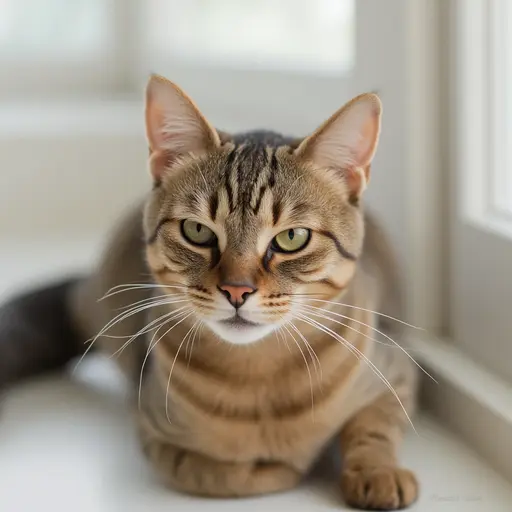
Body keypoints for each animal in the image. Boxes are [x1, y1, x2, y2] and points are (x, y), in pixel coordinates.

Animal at [0, 74, 420, 510]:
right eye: (197, 230)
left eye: (292, 238)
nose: (237, 289)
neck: (259, 379)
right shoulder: (155, 434)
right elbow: (229, 473)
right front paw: (287, 465)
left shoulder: (396, 374)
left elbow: (374, 428)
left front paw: (377, 471)